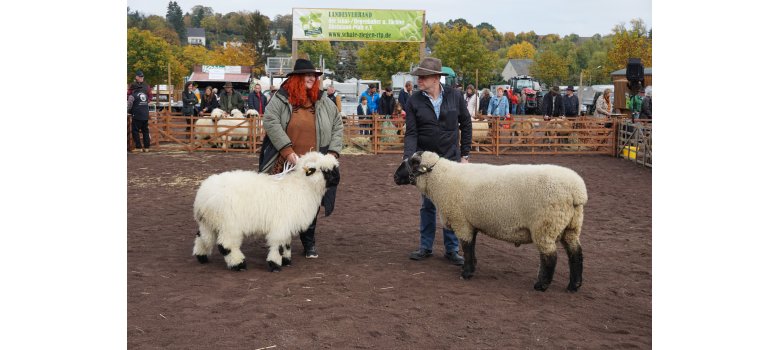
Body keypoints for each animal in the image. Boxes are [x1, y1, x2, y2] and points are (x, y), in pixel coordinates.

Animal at [191, 152, 338, 272]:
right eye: (324, 171)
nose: (337, 180)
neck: (302, 188)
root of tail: (204, 195)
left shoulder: (286, 225)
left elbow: (286, 244)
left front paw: (286, 260)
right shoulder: (281, 225)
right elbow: (279, 245)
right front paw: (275, 265)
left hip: (208, 222)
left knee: (203, 237)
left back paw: (202, 257)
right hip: (229, 224)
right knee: (226, 245)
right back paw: (239, 264)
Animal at [396, 152, 584, 292]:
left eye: (413, 162)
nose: (395, 176)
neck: (441, 179)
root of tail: (577, 191)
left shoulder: (461, 221)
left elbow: (467, 247)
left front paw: (466, 273)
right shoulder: (470, 223)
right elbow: (471, 246)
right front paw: (471, 266)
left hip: (545, 225)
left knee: (550, 257)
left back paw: (541, 285)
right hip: (571, 226)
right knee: (575, 253)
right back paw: (574, 285)